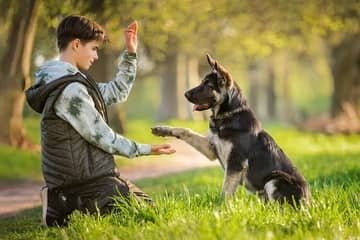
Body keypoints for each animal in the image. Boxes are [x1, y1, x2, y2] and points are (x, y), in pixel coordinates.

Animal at [151, 54, 310, 206]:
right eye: (202, 82)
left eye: (208, 85)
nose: (185, 94)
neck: (228, 115)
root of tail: (308, 203)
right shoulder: (212, 149)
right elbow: (186, 131)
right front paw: (163, 130)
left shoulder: (235, 164)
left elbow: (225, 192)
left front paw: (221, 209)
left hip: (275, 178)